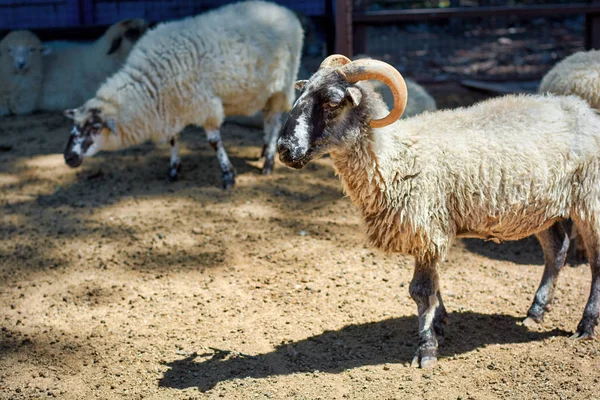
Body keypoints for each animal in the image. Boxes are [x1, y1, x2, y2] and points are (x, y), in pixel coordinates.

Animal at [63, 0, 302, 188]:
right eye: (74, 125)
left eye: (95, 127)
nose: (68, 157)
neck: (151, 85)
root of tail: (284, 10)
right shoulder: (172, 107)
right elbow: (173, 139)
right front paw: (173, 171)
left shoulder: (205, 105)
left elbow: (214, 142)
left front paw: (228, 175)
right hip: (266, 90)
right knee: (267, 120)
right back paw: (264, 150)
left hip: (282, 85)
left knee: (273, 121)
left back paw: (268, 163)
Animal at [278, 55, 600, 368]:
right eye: (301, 93)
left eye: (332, 102)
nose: (284, 150)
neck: (398, 158)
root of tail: (583, 108)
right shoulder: (430, 232)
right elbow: (433, 289)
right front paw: (439, 322)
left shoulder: (428, 229)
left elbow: (421, 291)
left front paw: (427, 349)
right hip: (541, 209)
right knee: (557, 250)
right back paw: (536, 312)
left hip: (590, 202)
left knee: (595, 264)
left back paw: (585, 326)